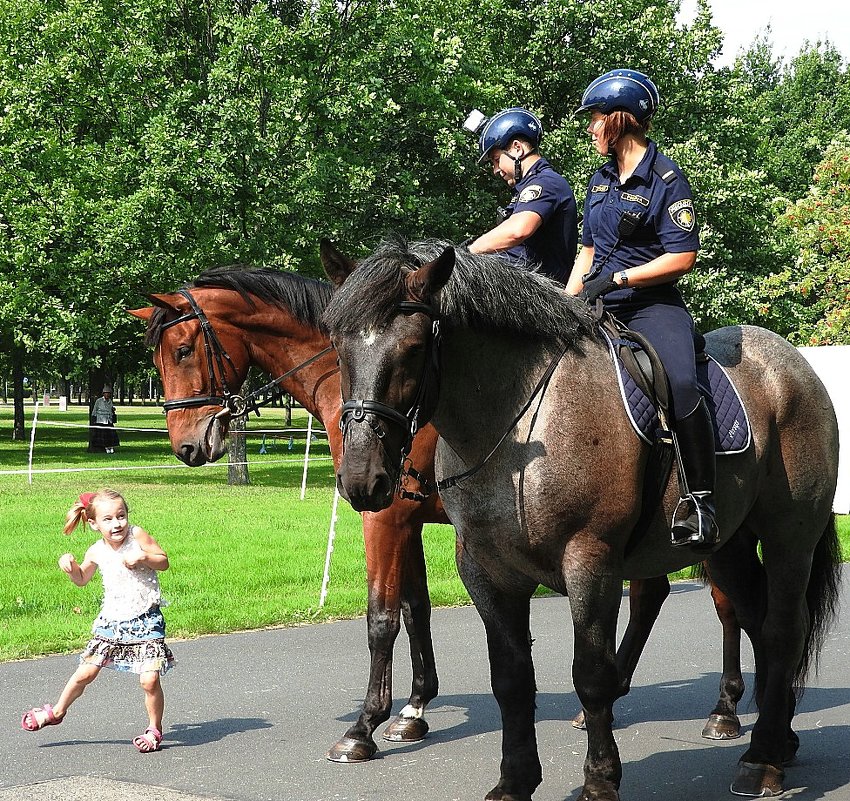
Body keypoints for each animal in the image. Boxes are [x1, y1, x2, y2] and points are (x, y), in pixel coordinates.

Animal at [126, 264, 744, 764]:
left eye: (183, 350)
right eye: (155, 358)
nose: (187, 445)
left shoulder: (385, 517)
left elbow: (382, 617)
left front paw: (365, 726)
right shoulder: (410, 521)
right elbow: (415, 607)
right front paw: (415, 708)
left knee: (725, 602)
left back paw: (724, 709)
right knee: (654, 595)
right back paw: (614, 690)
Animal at [320, 239, 840, 800]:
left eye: (414, 348)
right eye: (339, 346)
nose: (362, 478)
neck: (520, 431)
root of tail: (794, 363)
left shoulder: (590, 562)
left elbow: (591, 675)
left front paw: (600, 779)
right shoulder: (485, 571)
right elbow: (511, 679)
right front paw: (515, 779)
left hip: (790, 539)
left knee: (782, 628)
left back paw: (762, 758)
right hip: (727, 547)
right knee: (754, 618)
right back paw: (777, 739)